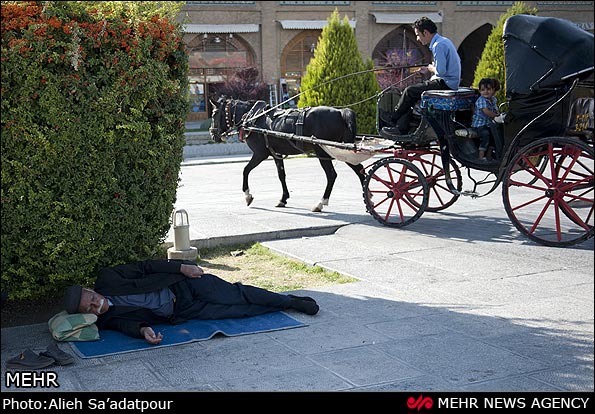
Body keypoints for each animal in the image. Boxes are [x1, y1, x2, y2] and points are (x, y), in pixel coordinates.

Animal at [210, 97, 368, 210]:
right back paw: (368, 198)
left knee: (332, 175)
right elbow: (281, 175)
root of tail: (340, 112)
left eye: (214, 113)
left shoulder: (260, 154)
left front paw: (248, 195)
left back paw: (321, 203)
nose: (212, 134)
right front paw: (283, 198)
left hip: (324, 150)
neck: (252, 118)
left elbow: (245, 170)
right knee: (359, 170)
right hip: (343, 150)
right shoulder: (276, 154)